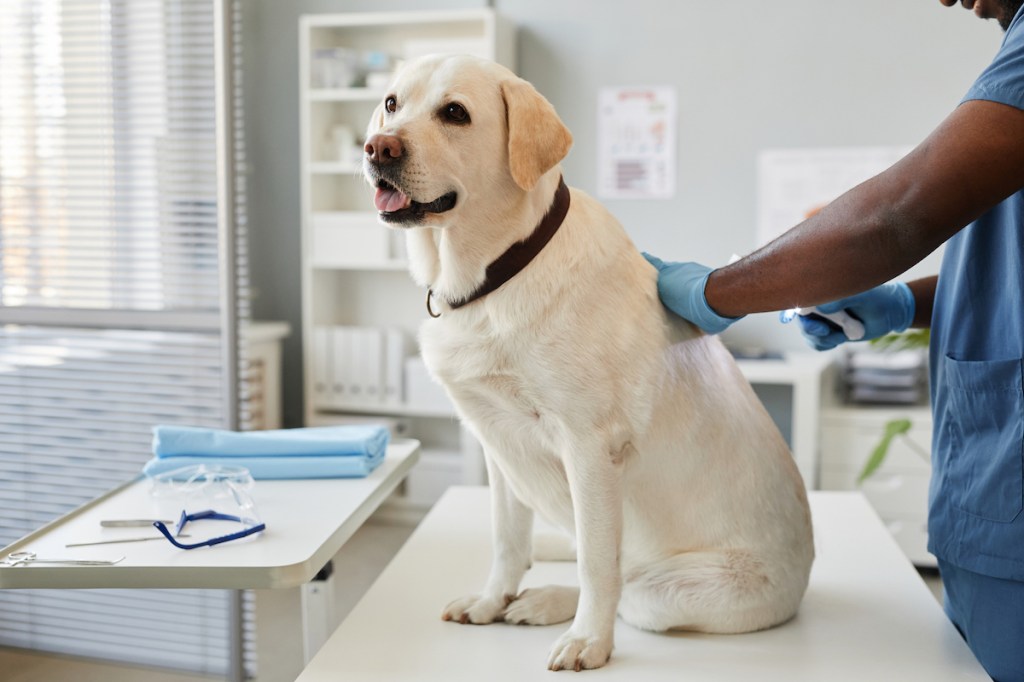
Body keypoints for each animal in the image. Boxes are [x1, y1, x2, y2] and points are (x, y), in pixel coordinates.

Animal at [364, 54, 811, 667]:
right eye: (391, 103)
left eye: (455, 113)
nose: (377, 149)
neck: (497, 274)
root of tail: (807, 573)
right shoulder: (498, 445)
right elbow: (507, 540)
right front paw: (490, 601)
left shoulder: (591, 448)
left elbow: (599, 566)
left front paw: (588, 642)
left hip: (670, 591)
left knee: (625, 582)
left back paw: (551, 602)